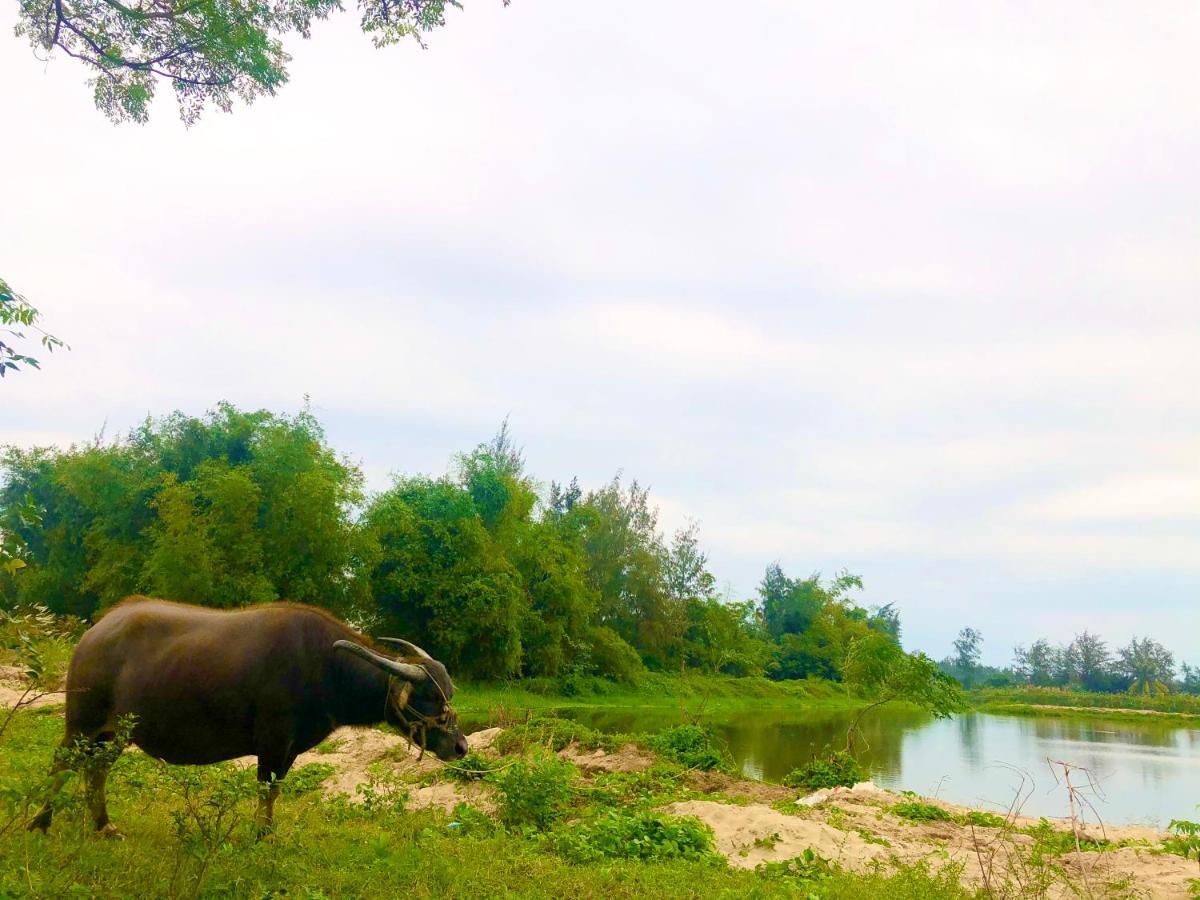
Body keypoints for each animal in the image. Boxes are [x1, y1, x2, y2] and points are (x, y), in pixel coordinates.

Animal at [30, 600, 465, 840]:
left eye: (448, 694)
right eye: (429, 698)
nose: (460, 746)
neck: (324, 667)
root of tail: (94, 635)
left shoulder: (290, 750)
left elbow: (274, 791)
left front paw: (266, 832)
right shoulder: (272, 743)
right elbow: (265, 790)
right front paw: (260, 835)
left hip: (114, 734)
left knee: (96, 771)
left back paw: (104, 826)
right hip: (82, 723)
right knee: (62, 765)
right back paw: (40, 823)